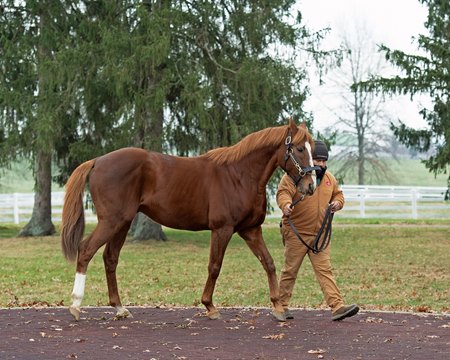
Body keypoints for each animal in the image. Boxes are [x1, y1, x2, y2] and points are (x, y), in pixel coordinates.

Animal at [61, 119, 318, 322]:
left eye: (311, 148)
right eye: (299, 148)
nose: (310, 186)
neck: (239, 175)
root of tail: (97, 160)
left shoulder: (251, 230)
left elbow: (269, 263)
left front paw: (278, 307)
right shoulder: (222, 229)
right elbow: (215, 266)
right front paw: (210, 306)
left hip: (122, 223)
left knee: (110, 258)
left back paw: (119, 308)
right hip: (111, 221)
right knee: (86, 250)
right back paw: (75, 305)